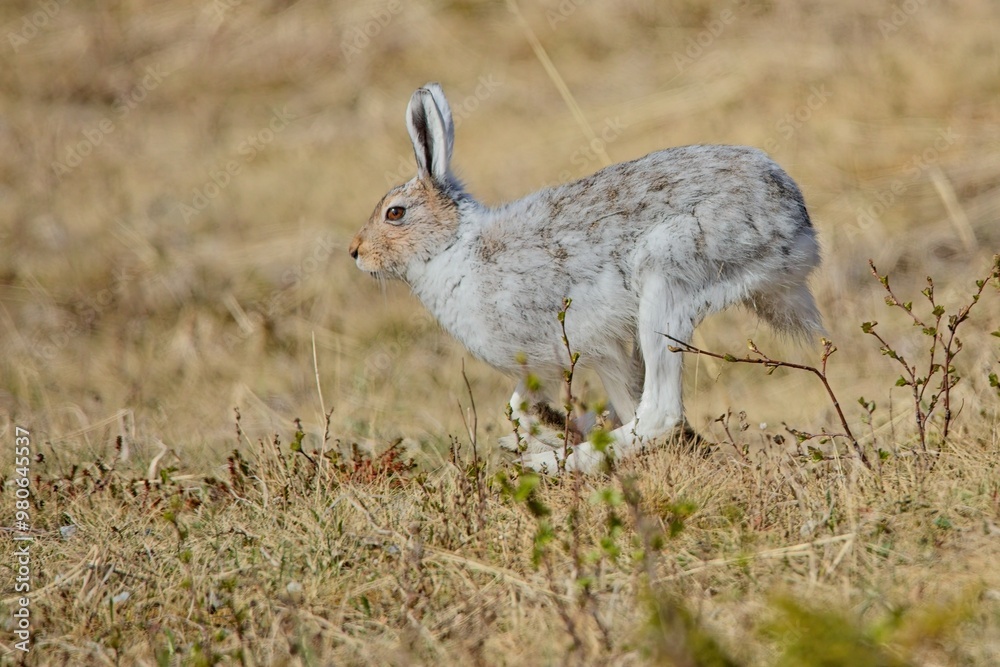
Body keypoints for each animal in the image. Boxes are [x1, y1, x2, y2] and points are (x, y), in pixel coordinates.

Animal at [349, 82, 824, 475]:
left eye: (395, 213)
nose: (356, 252)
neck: (453, 246)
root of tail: (795, 221)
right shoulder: (548, 363)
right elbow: (517, 406)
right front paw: (546, 429)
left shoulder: (588, 343)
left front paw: (550, 441)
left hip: (666, 279)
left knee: (660, 412)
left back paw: (549, 465)